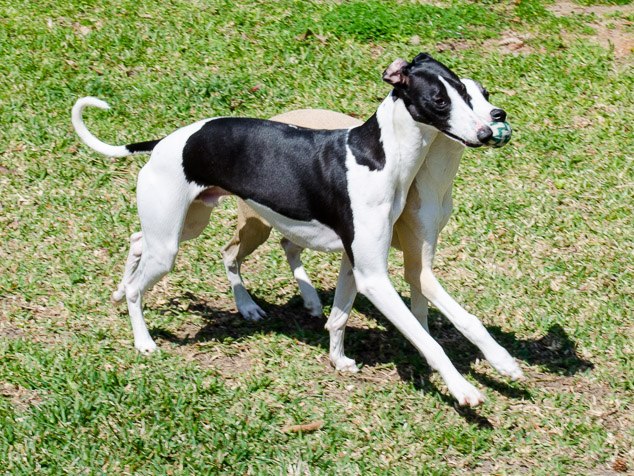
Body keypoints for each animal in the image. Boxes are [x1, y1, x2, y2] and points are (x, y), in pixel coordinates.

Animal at [73, 54, 520, 406]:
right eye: (440, 100)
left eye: (468, 92)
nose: (488, 130)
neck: (377, 156)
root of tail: (164, 141)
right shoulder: (375, 277)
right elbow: (428, 339)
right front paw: (466, 387)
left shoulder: (353, 262)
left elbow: (339, 317)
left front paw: (338, 360)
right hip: (174, 242)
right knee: (151, 279)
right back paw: (144, 338)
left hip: (186, 223)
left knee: (138, 241)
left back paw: (126, 292)